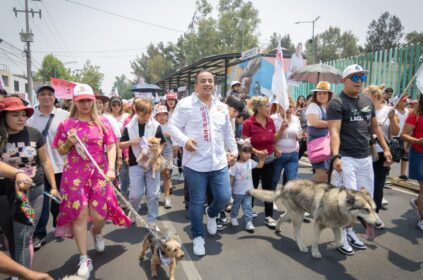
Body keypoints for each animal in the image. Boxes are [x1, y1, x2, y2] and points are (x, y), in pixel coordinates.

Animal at [250, 179, 382, 258]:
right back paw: (301, 246)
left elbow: (339, 241)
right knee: (295, 232)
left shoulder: (336, 227)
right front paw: (315, 252)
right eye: (366, 210)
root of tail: (285, 186)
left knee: (282, 217)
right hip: (298, 216)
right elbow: (315, 240)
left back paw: (277, 228)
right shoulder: (319, 224)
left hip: (295, 213)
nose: (379, 224)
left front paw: (331, 246)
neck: (338, 205)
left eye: (375, 209)